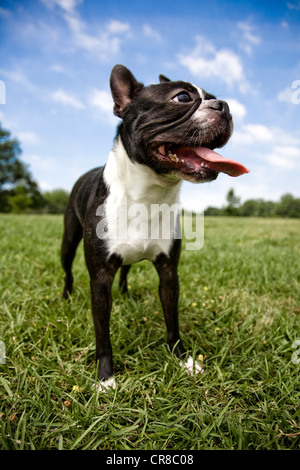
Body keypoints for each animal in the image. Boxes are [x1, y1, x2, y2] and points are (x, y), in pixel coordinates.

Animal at [61, 64, 248, 392]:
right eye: (182, 97)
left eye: (212, 96)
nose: (223, 105)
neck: (148, 196)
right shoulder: (99, 278)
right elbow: (102, 333)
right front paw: (105, 378)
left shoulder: (169, 272)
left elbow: (172, 322)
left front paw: (183, 360)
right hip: (68, 240)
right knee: (68, 269)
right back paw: (66, 296)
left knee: (125, 270)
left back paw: (124, 295)